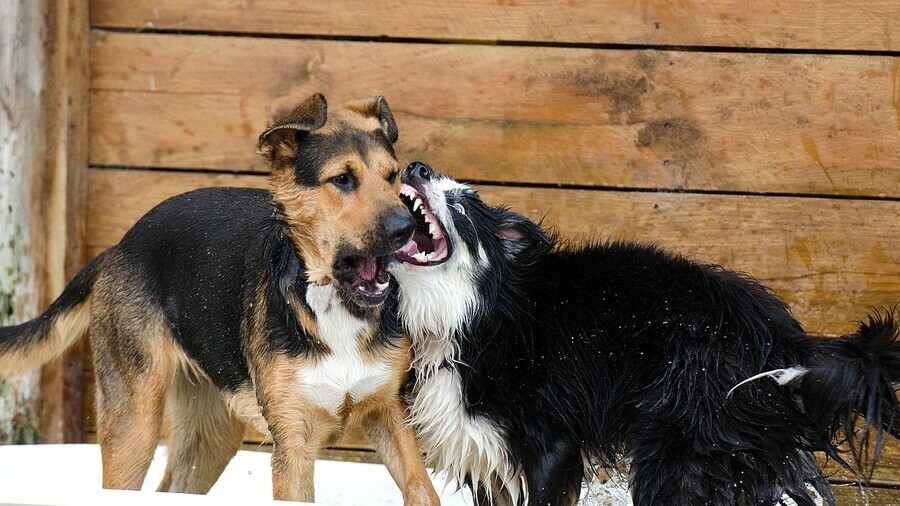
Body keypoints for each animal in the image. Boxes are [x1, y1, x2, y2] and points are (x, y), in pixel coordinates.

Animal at [0, 93, 440, 504]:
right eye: (343, 179)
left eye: (391, 176)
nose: (406, 228)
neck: (330, 303)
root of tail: (119, 246)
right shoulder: (293, 441)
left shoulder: (391, 415)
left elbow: (424, 490)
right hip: (133, 424)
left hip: (211, 432)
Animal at [390, 162, 900, 506]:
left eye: (461, 207)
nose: (415, 166)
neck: (472, 317)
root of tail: (782, 336)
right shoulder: (486, 456)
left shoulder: (552, 444)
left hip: (684, 439)